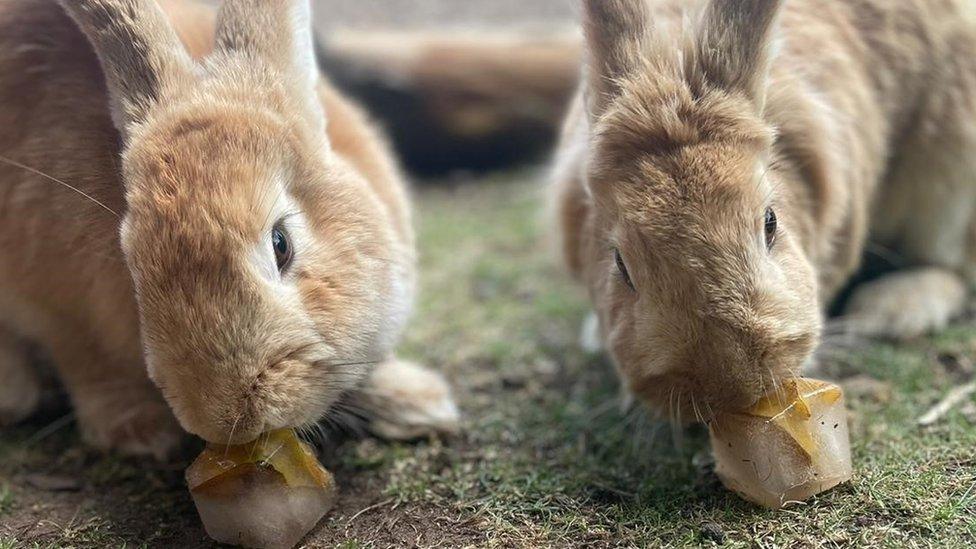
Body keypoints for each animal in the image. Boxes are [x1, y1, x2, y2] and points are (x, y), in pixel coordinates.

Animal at [0, 0, 458, 458]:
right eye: (132, 262)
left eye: (281, 244)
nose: (228, 421)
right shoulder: (58, 308)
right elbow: (88, 365)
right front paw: (141, 433)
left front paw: (420, 404)